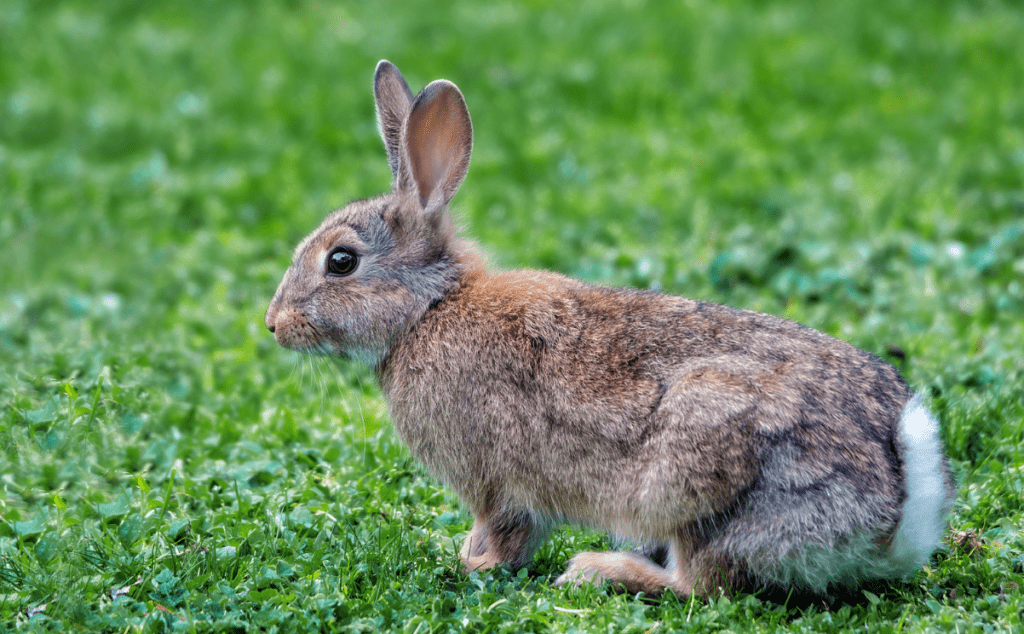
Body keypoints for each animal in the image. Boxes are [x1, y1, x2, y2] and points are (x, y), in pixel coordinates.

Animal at [262, 60, 950, 602]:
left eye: (341, 261)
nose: (273, 324)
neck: (428, 310)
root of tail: (895, 508)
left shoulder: (497, 483)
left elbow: (504, 533)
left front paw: (470, 563)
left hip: (702, 473)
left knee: (702, 584)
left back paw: (599, 570)